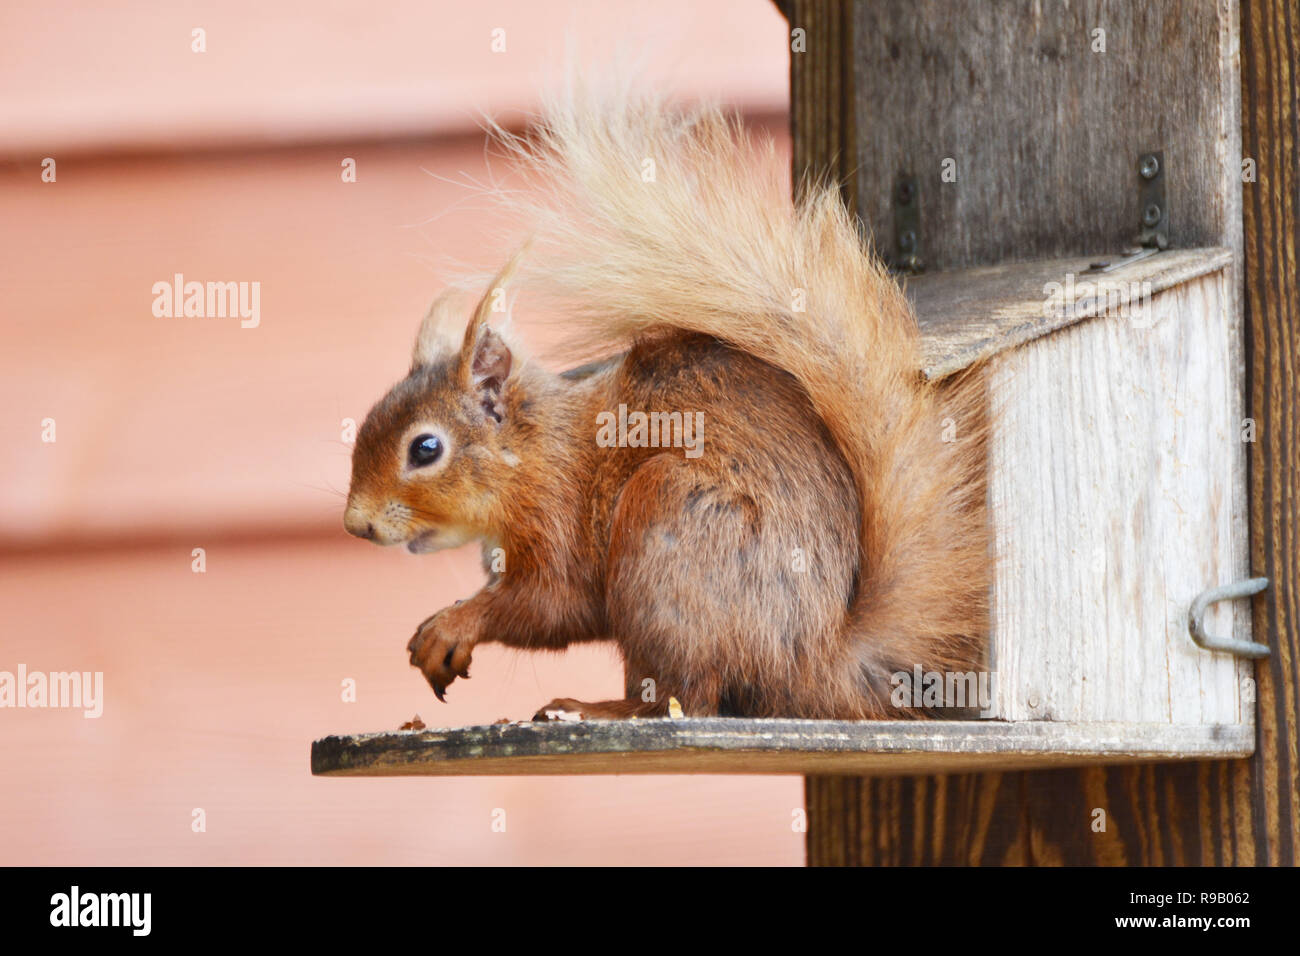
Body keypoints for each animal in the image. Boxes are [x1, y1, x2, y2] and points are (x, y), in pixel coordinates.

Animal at [340, 87, 987, 717]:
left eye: (425, 449)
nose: (355, 525)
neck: (533, 452)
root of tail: (812, 659)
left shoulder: (559, 516)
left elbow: (551, 606)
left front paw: (453, 625)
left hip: (670, 524)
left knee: (682, 697)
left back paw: (596, 709)